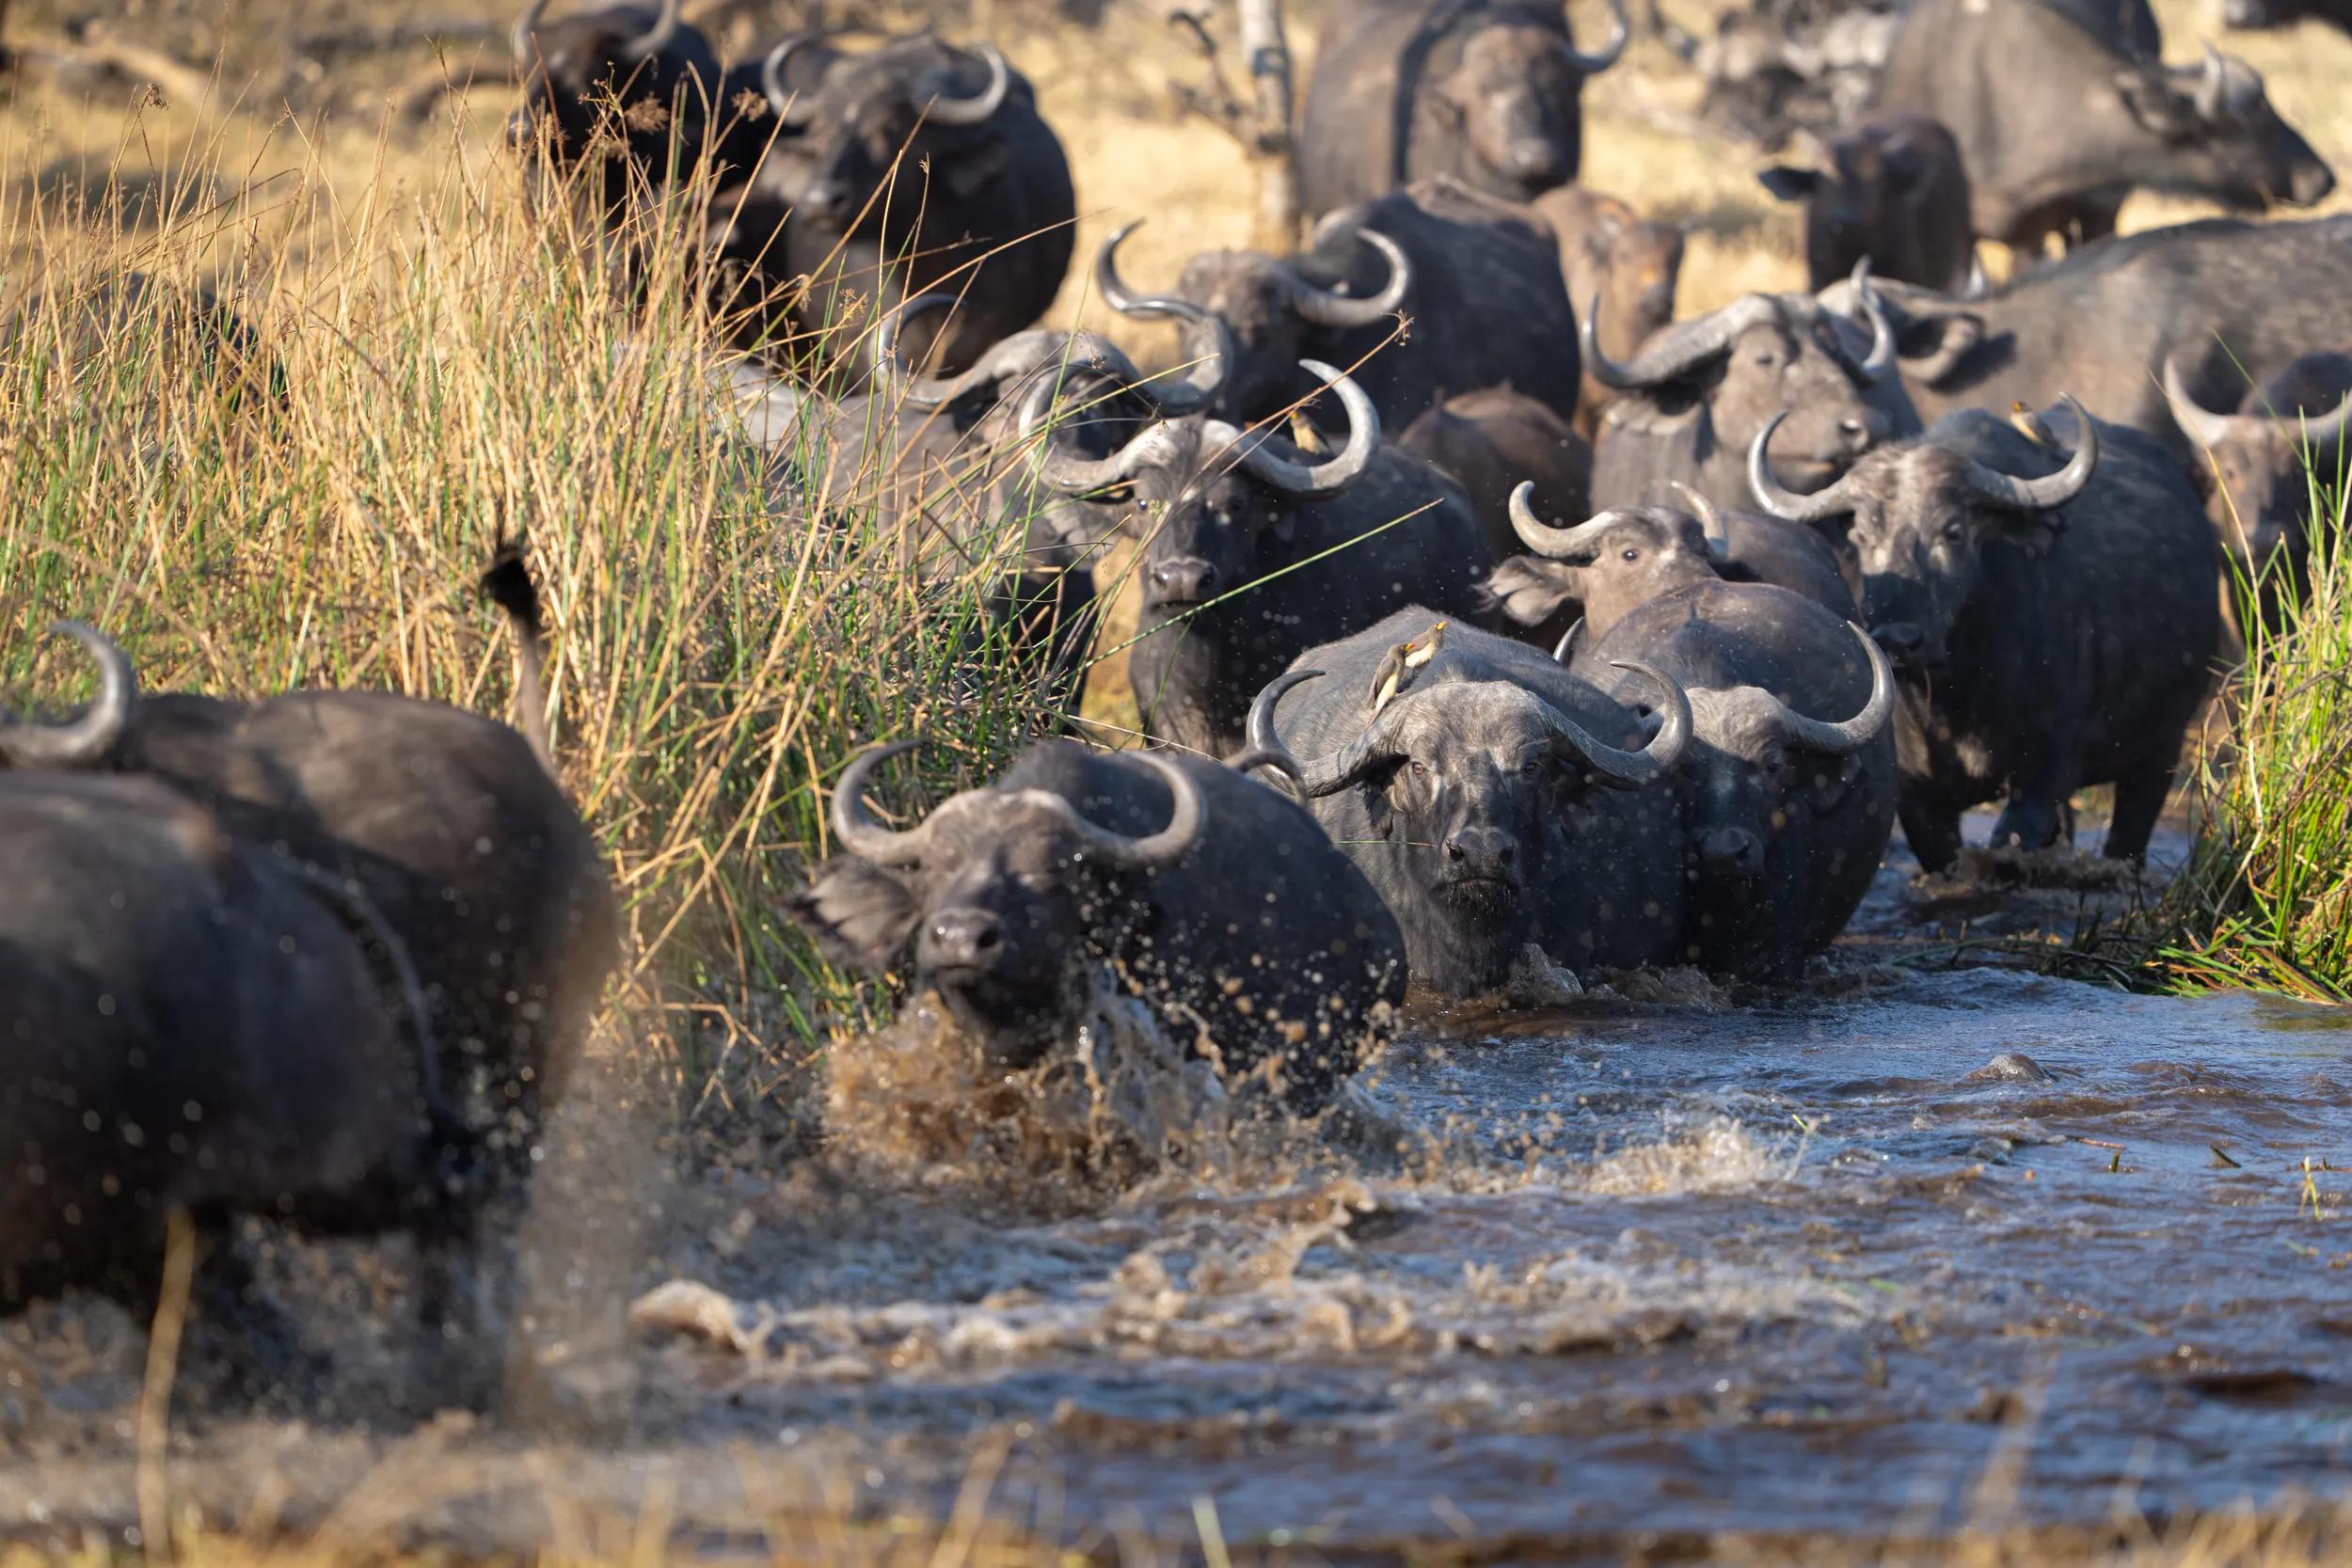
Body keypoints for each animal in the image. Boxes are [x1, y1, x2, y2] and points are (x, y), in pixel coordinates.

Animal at [1749, 396, 2219, 870]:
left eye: (1953, 532)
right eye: (1861, 536)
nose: (1899, 640)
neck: (1960, 696)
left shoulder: (2044, 777)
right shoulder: (1919, 799)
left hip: (2161, 751)